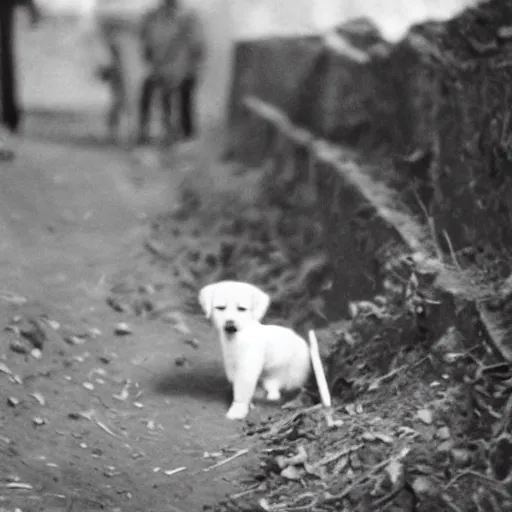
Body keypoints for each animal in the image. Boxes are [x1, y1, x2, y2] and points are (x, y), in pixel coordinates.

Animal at [199, 280, 312, 420]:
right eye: (220, 308)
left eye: (241, 309)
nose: (230, 322)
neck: (237, 337)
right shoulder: (231, 365)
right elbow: (237, 383)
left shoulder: (247, 367)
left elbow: (242, 390)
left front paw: (238, 410)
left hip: (295, 372)